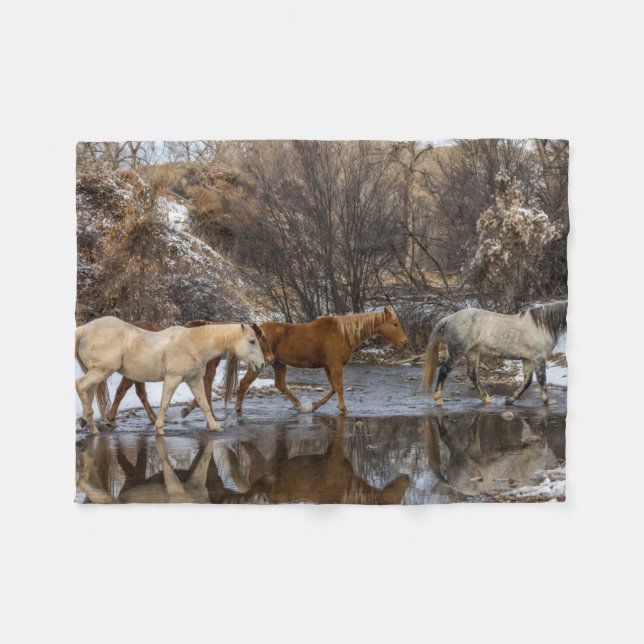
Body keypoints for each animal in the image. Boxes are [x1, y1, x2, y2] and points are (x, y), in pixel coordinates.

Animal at [75, 316, 265, 434]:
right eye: (252, 341)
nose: (262, 364)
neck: (193, 343)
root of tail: (84, 329)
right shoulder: (173, 378)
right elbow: (165, 402)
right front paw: (159, 427)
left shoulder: (194, 380)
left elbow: (203, 403)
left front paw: (214, 427)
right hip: (102, 371)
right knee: (80, 385)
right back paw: (93, 423)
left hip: (98, 373)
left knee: (89, 392)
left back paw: (90, 425)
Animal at [229, 306, 408, 415]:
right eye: (395, 324)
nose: (405, 342)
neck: (343, 334)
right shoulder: (335, 366)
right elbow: (339, 388)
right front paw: (344, 409)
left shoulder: (328, 367)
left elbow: (334, 388)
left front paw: (316, 405)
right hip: (259, 364)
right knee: (244, 384)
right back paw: (238, 410)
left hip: (279, 363)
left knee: (280, 385)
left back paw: (300, 406)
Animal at [421, 301, 567, 406]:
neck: (542, 326)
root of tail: (449, 318)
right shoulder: (539, 358)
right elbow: (542, 380)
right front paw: (547, 401)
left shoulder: (528, 359)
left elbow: (527, 382)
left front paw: (509, 399)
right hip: (457, 352)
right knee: (444, 370)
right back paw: (438, 399)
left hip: (473, 352)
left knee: (472, 374)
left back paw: (486, 399)